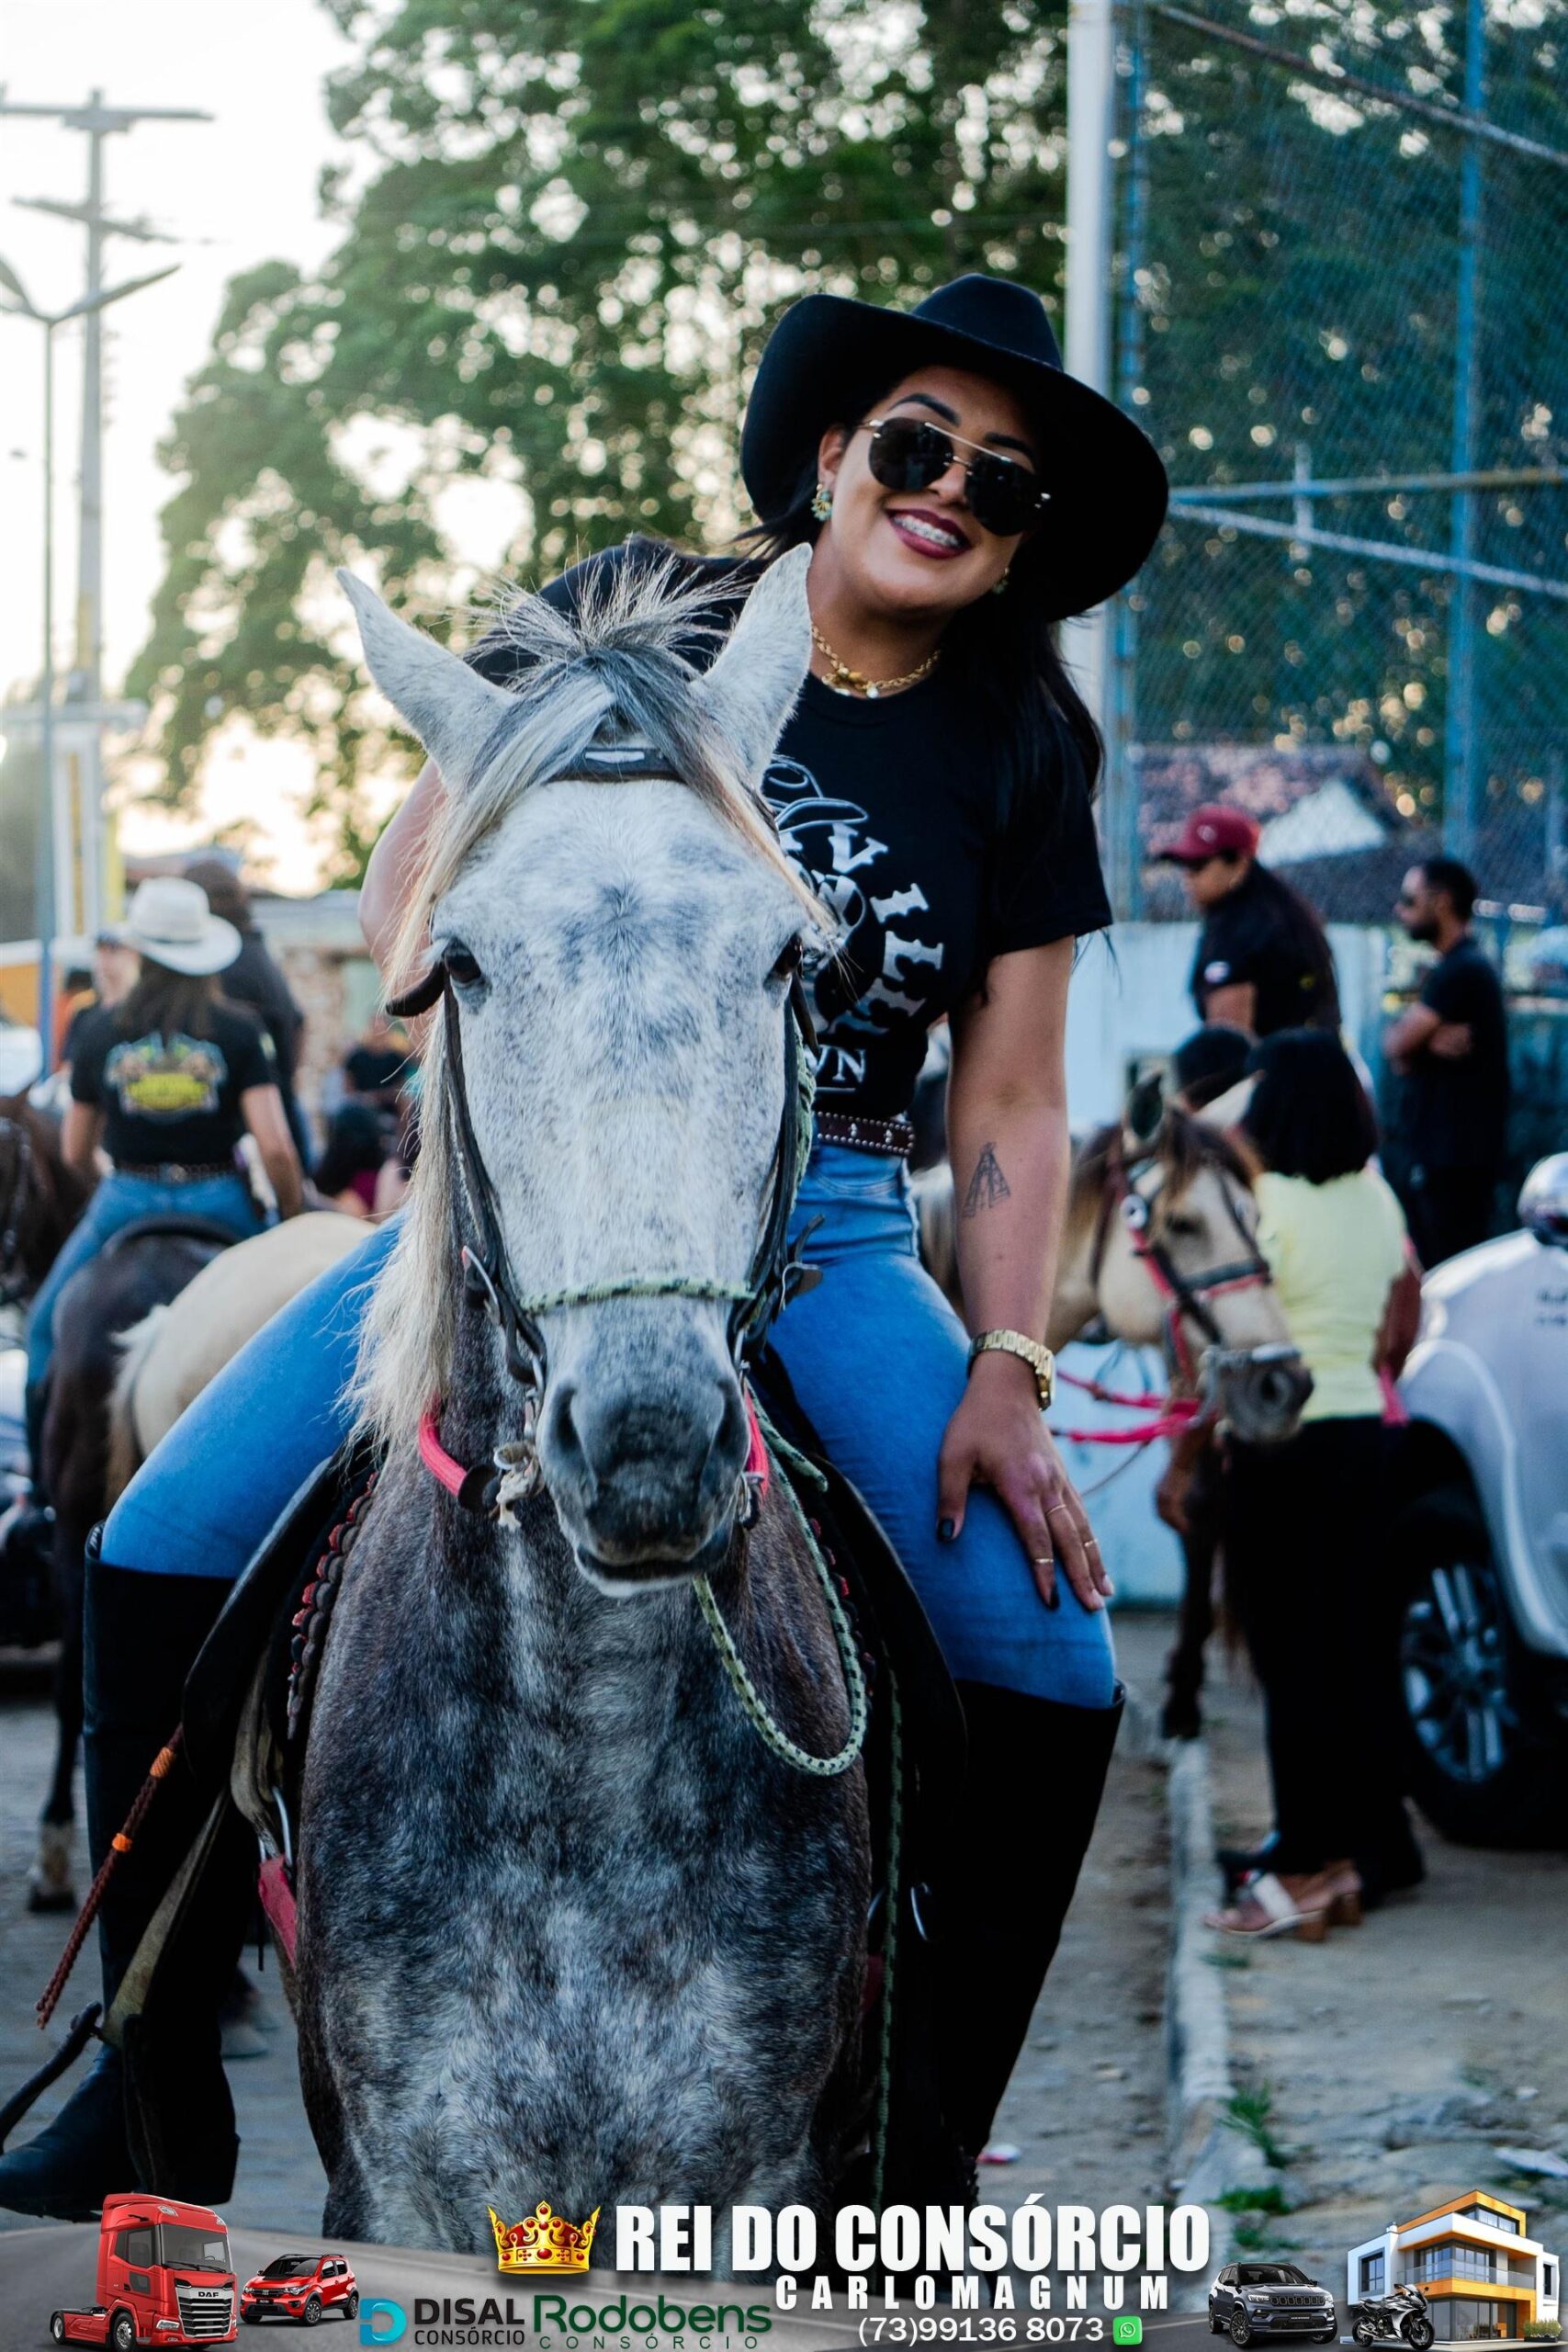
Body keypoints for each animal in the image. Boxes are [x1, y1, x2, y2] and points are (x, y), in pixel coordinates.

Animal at [289, 551, 869, 2257]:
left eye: (788, 958)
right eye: (459, 964)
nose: (650, 1445)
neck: (578, 1761)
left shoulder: (751, 2192)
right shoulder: (403, 2189)